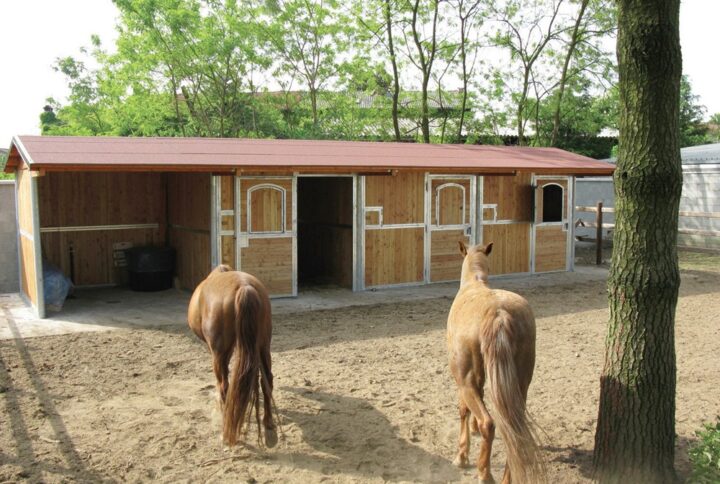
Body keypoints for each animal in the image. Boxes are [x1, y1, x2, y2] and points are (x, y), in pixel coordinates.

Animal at [188, 265, 277, 448]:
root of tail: (244, 287)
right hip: (263, 346)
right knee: (267, 381)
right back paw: (268, 421)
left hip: (220, 353)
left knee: (224, 385)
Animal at [447, 242, 545, 484]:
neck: (474, 283)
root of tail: (499, 313)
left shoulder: (465, 381)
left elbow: (463, 410)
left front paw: (462, 455)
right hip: (520, 385)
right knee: (514, 431)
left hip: (467, 381)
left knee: (489, 423)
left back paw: (484, 473)